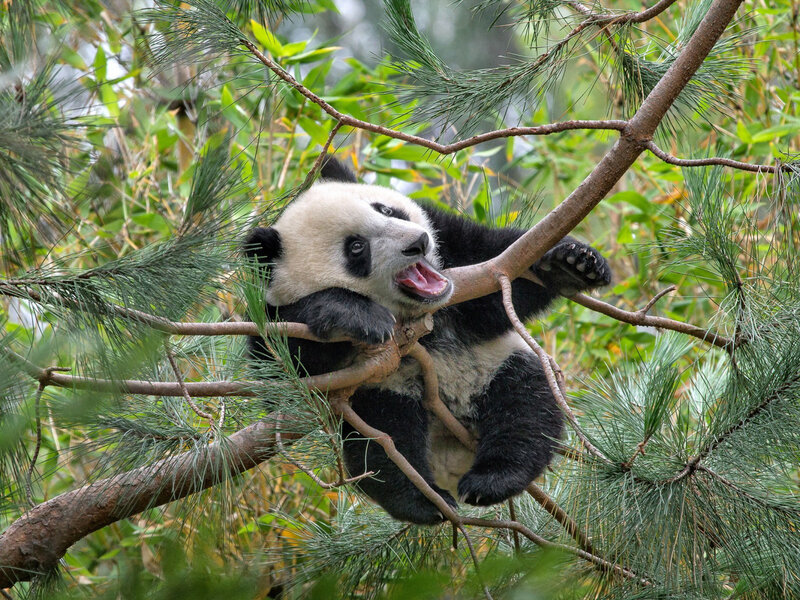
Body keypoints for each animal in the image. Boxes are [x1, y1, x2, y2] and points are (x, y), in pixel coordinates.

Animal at [244, 158, 611, 525]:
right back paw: (426, 500)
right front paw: (353, 313)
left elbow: (495, 271)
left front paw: (572, 264)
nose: (417, 243)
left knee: (526, 407)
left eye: (386, 209)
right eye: (356, 248)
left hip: (500, 363)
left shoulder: (454, 247)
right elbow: (279, 376)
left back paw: (493, 478)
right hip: (380, 396)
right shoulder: (268, 310)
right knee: (384, 445)